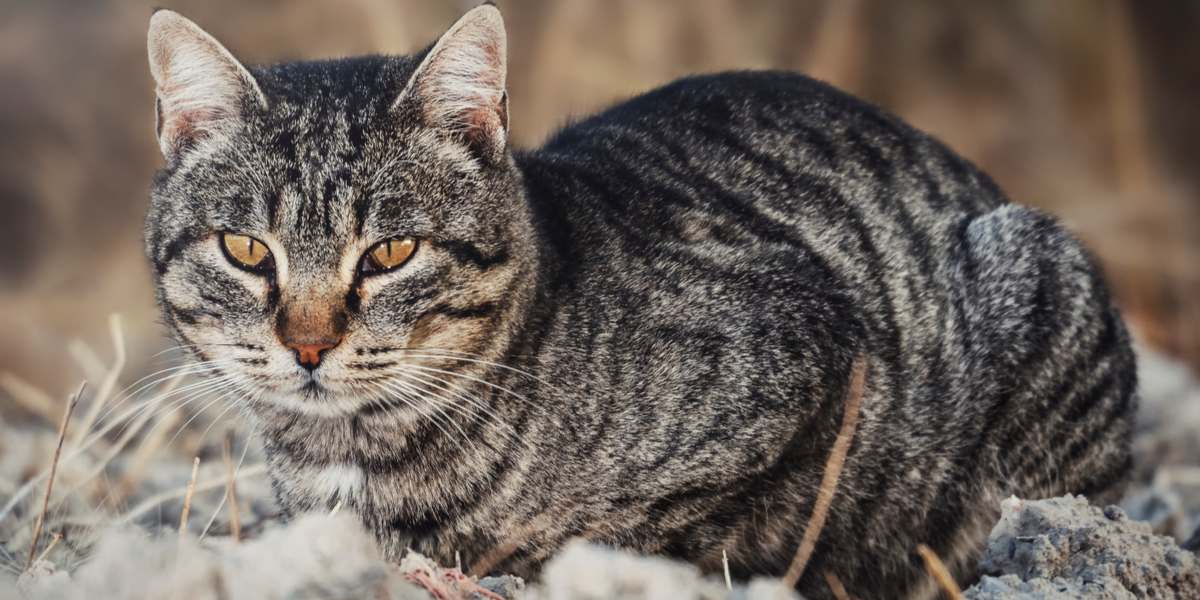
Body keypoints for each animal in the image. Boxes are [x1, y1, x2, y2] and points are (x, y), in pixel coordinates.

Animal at [140, 3, 1132, 595]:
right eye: (245, 249)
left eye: (390, 252)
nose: (307, 345)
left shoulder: (807, 365)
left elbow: (661, 527)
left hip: (1036, 284)